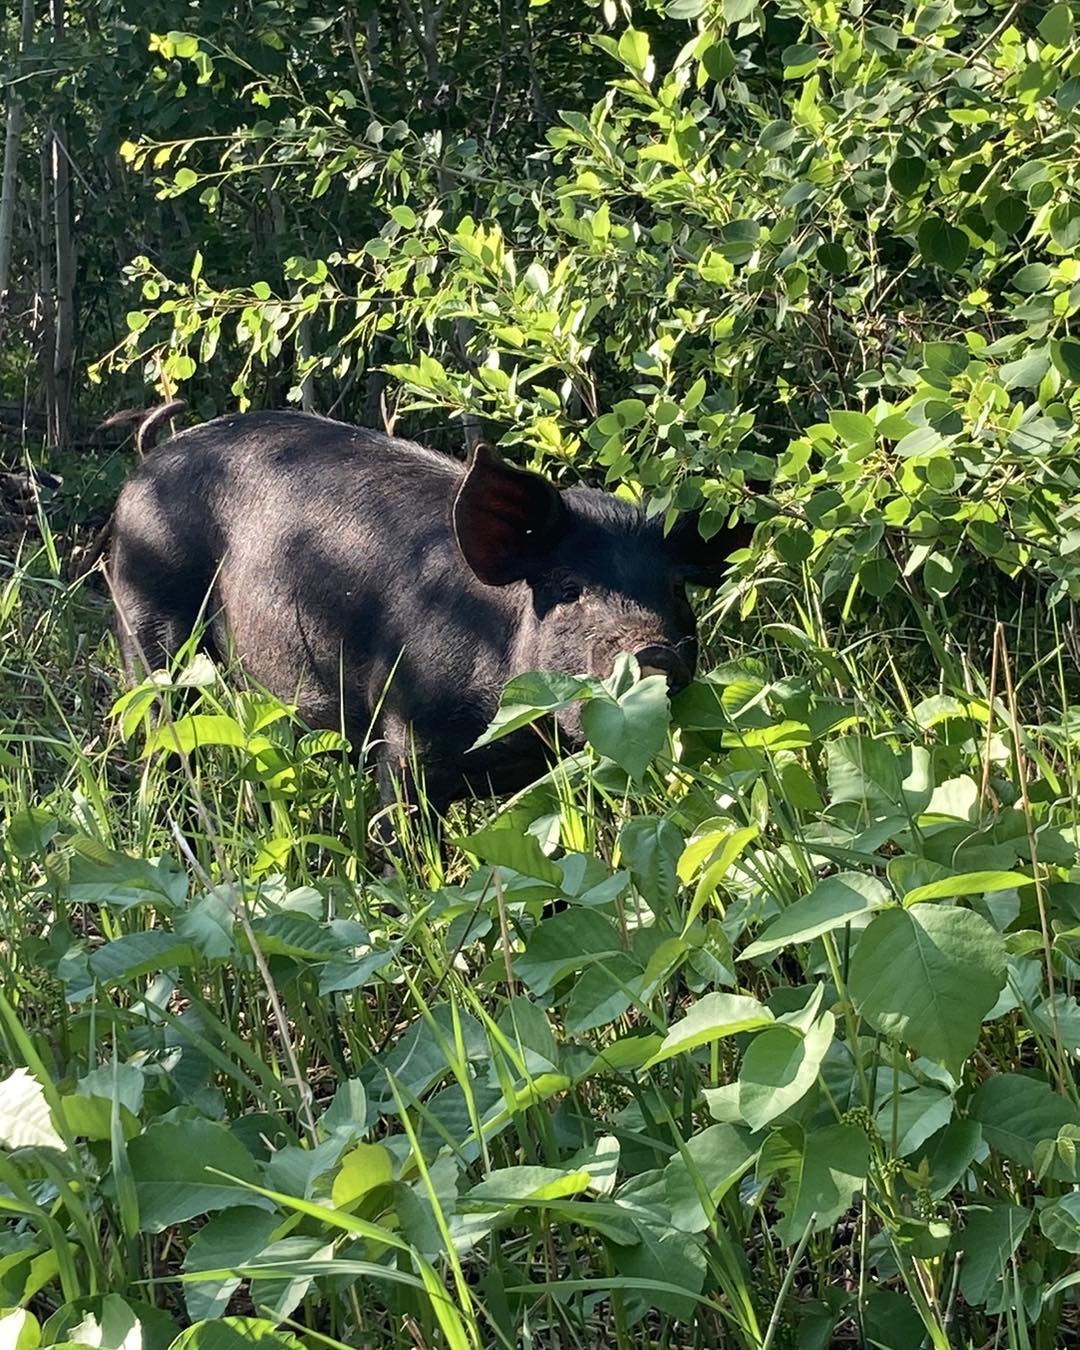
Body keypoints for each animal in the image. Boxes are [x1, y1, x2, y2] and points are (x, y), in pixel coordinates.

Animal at [112, 410, 750, 810]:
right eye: (569, 588)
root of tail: (145, 466)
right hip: (147, 625)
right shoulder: (403, 738)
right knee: (158, 730)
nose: (653, 650)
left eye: (676, 589)